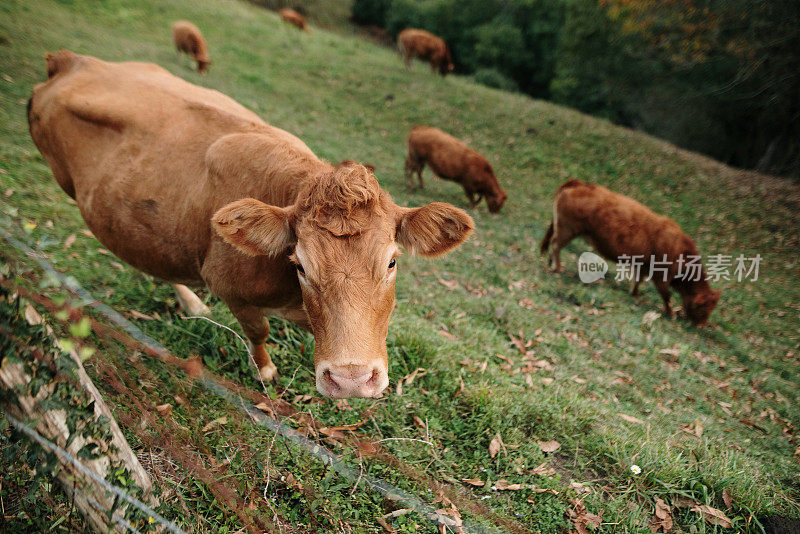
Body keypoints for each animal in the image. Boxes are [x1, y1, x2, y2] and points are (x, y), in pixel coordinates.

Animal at [28, 52, 472, 400]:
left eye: (392, 262)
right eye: (300, 265)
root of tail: (72, 61)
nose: (351, 380)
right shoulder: (232, 291)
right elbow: (258, 332)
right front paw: (266, 370)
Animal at [540, 180, 720, 326]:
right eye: (704, 310)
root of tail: (580, 184)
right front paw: (670, 313)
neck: (682, 252)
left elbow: (638, 281)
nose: (701, 326)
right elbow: (666, 295)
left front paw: (635, 294)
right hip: (567, 230)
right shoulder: (661, 276)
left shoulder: (643, 267)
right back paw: (557, 268)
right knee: (555, 245)